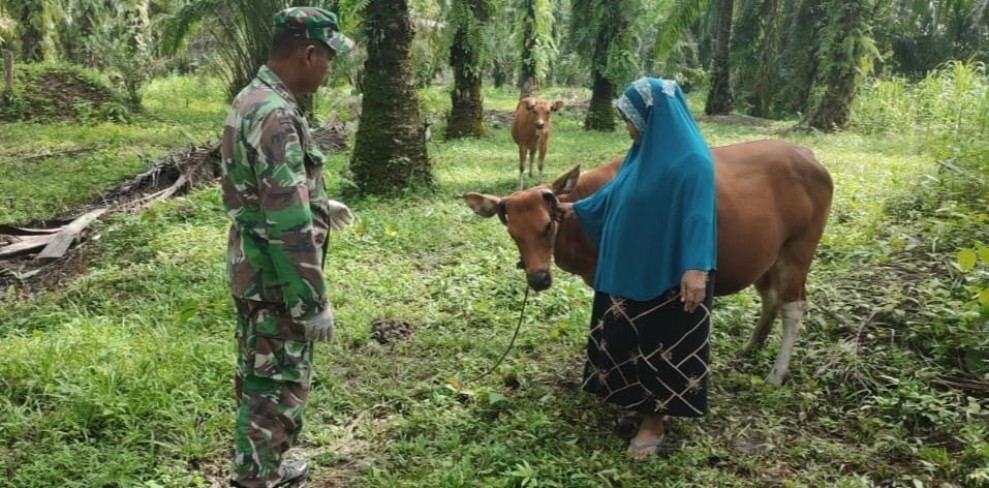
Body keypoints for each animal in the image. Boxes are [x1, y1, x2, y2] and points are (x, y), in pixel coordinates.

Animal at [466, 138, 832, 386]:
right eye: (513, 232)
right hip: (768, 256)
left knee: (794, 308)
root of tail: (809, 156)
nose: (538, 278)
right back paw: (751, 348)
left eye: (547, 225)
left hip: (798, 250)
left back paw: (777, 373)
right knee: (771, 299)